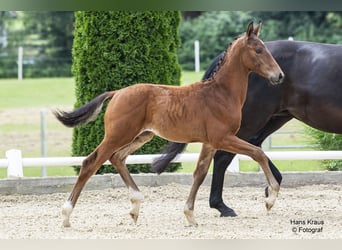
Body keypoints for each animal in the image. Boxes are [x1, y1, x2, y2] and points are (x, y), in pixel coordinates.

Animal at [54, 22, 284, 228]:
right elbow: (258, 153)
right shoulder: (223, 138)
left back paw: (135, 207)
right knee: (90, 163)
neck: (220, 93)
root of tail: (117, 92)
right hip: (118, 135)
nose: (279, 75)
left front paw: (190, 215)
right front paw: (270, 198)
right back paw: (66, 216)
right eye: (259, 50)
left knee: (117, 158)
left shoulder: (210, 143)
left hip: (141, 135)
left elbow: (200, 174)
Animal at [152, 39, 342, 217]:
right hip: (253, 119)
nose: (278, 76)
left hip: (275, 118)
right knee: (225, 156)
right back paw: (223, 206)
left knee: (253, 146)